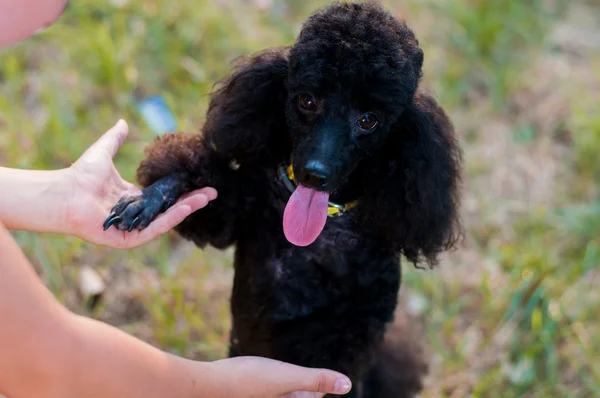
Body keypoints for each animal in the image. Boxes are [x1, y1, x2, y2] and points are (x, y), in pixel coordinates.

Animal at [103, 3, 462, 394]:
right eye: (306, 100)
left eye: (369, 120)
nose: (314, 173)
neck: (322, 229)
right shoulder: (238, 208)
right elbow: (200, 187)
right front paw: (148, 199)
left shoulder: (356, 331)